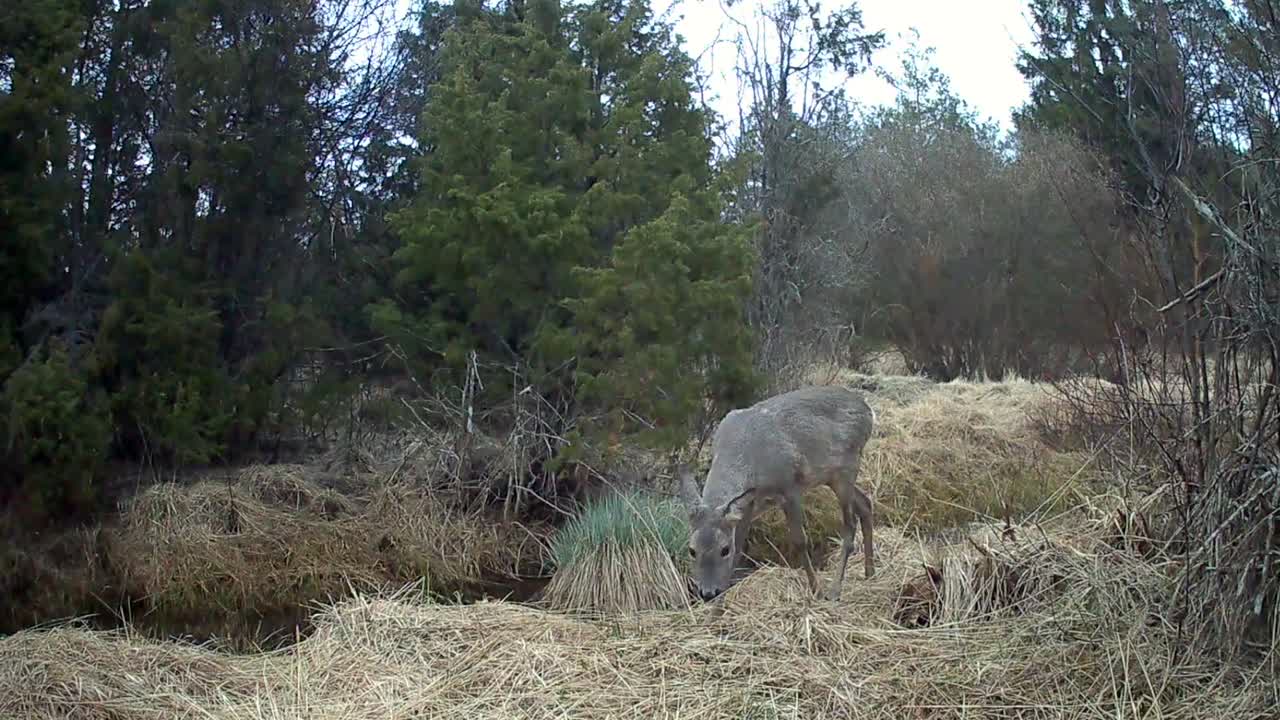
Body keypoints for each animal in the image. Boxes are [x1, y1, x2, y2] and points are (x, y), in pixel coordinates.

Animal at [678, 384, 876, 602]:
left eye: (724, 549)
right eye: (692, 550)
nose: (708, 593)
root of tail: (868, 410)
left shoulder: (790, 487)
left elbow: (799, 541)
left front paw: (816, 591)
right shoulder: (748, 505)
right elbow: (740, 548)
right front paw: (719, 606)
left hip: (847, 468)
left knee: (850, 526)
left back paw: (834, 591)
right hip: (832, 476)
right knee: (865, 504)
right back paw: (870, 573)